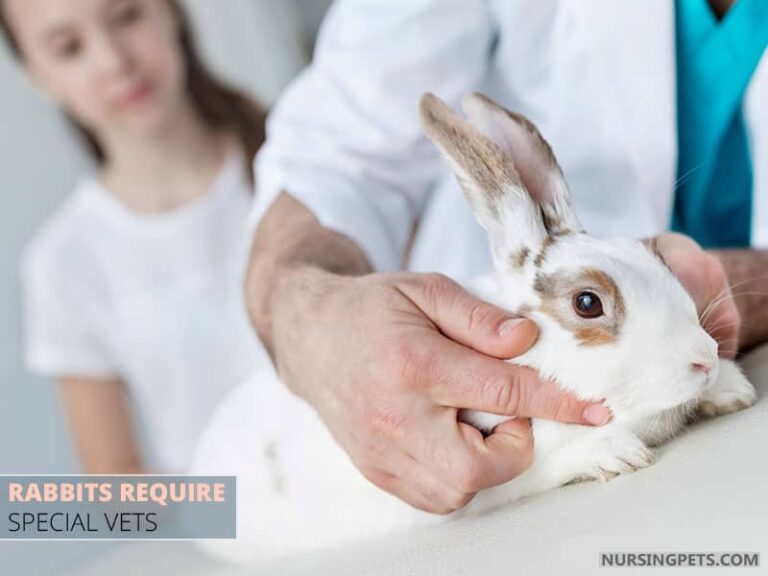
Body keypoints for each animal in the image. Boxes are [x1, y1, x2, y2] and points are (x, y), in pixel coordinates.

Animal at [188, 92, 758, 564]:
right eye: (587, 303)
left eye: (656, 258)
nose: (703, 358)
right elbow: (548, 462)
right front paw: (617, 454)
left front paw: (733, 391)